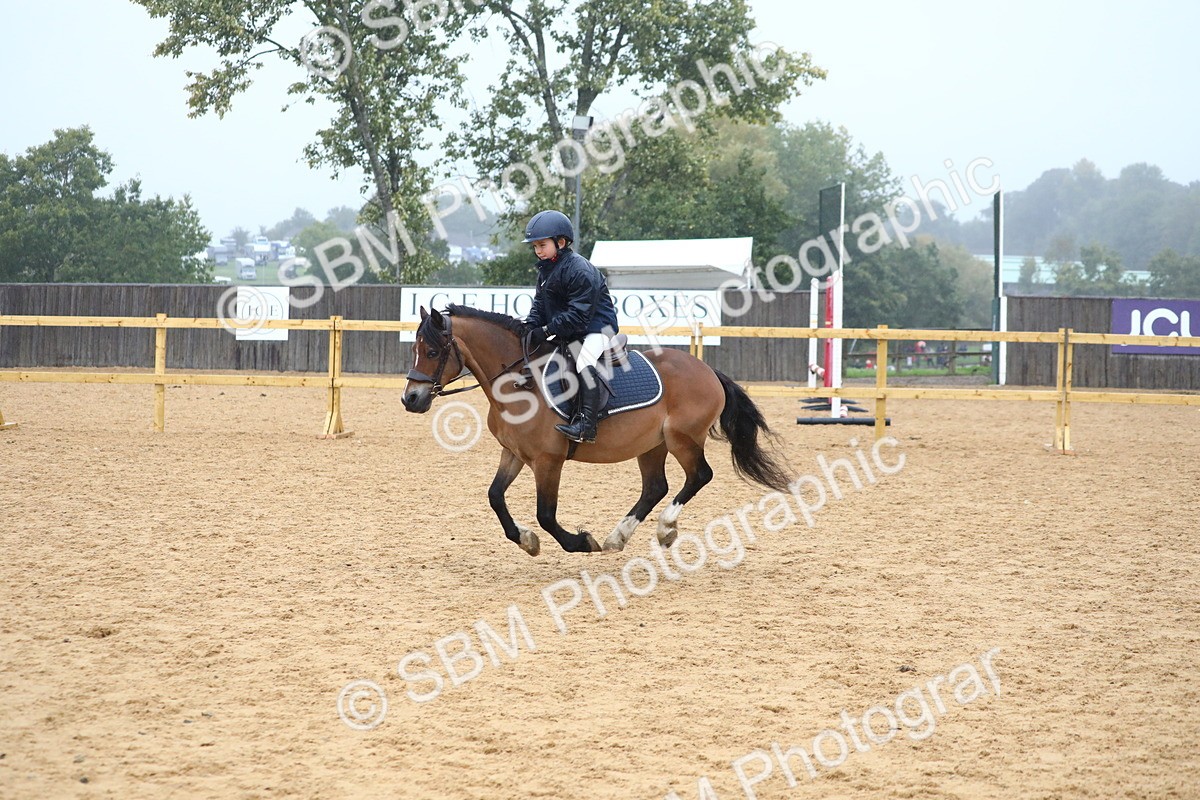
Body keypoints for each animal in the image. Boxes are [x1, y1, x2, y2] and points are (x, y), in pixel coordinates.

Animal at [401, 305, 793, 557]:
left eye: (432, 351)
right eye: (416, 349)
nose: (411, 399)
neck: (518, 383)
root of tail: (708, 370)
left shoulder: (548, 461)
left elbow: (546, 515)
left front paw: (579, 542)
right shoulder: (513, 453)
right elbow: (495, 497)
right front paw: (526, 541)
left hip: (682, 439)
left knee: (699, 476)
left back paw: (665, 528)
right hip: (652, 445)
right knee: (655, 487)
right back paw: (618, 537)